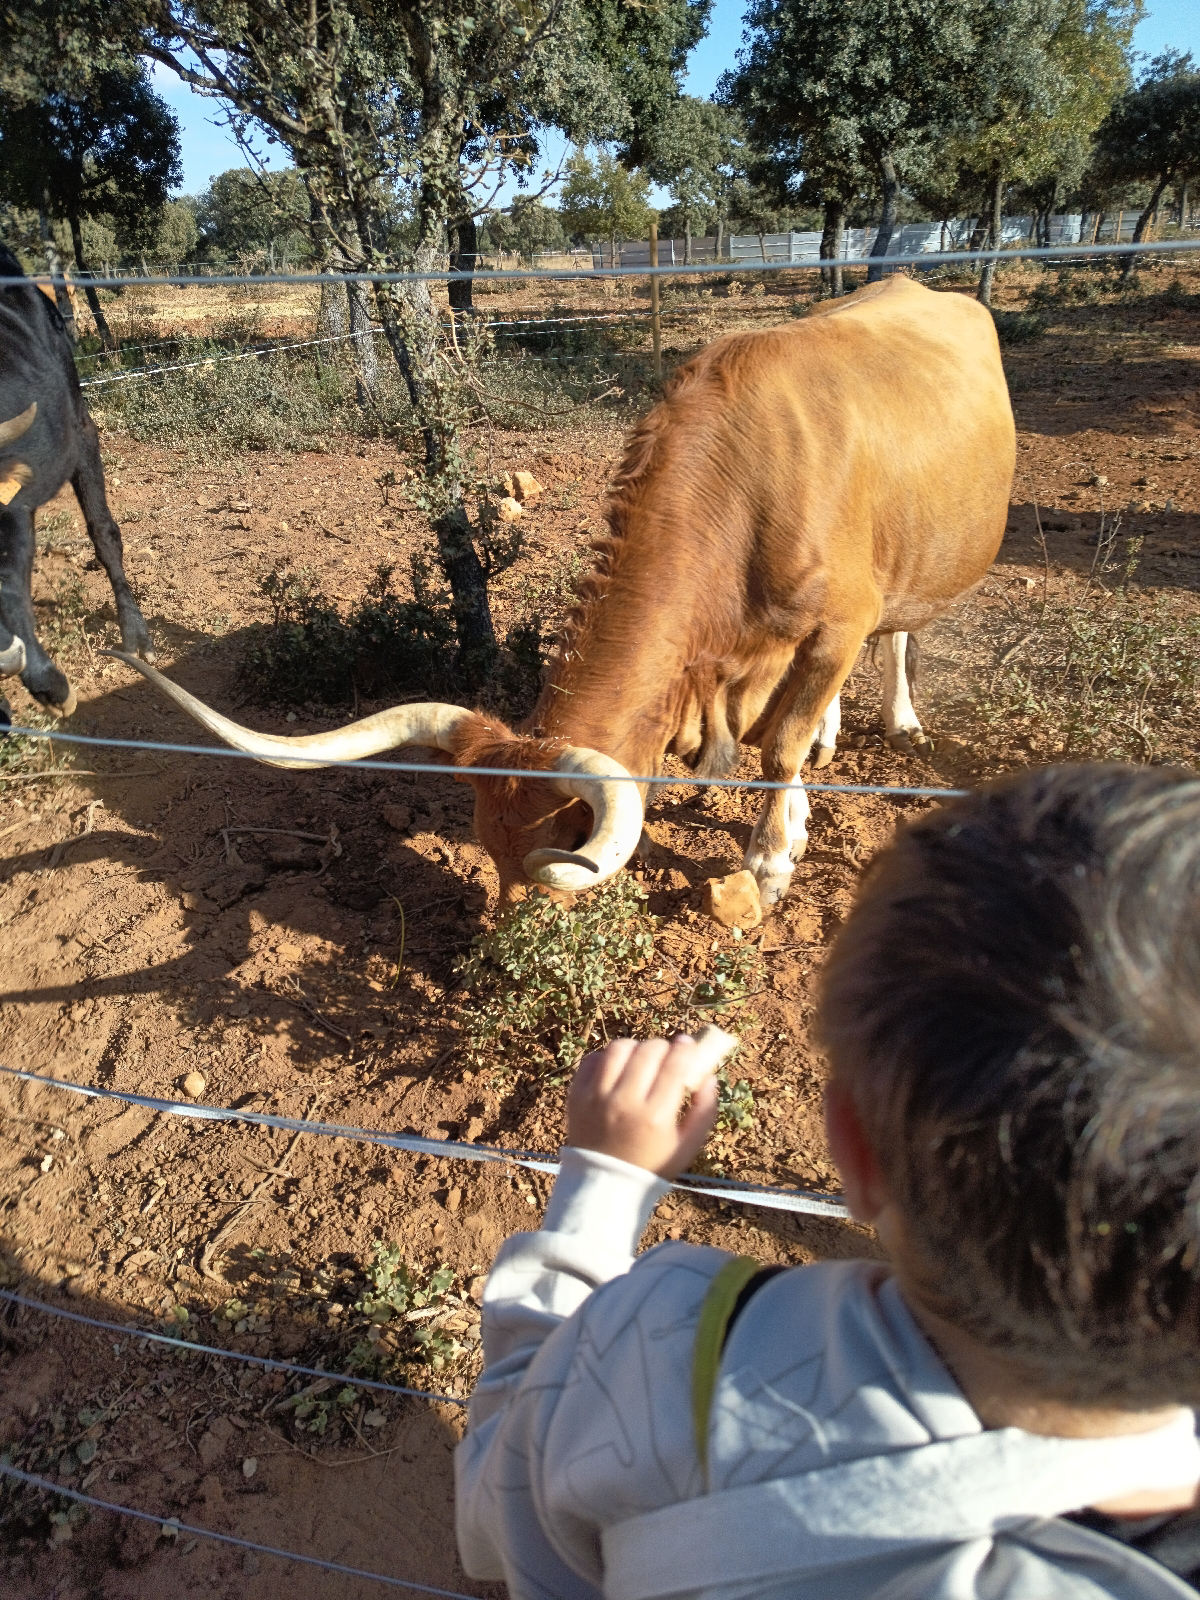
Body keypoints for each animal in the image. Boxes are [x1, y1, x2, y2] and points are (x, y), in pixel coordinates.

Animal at [109, 276, 1016, 911]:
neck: (749, 485)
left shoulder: (838, 623)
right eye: (486, 845)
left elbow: (780, 750)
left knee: (899, 634)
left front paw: (771, 856)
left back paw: (899, 717)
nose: (511, 945)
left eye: (565, 843)